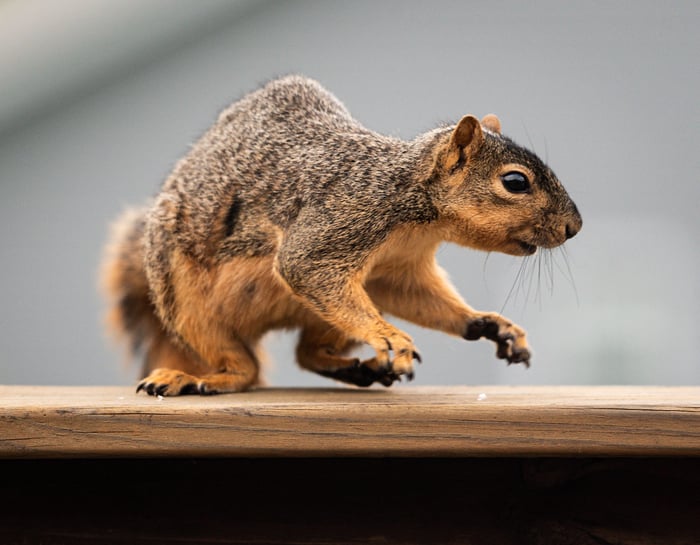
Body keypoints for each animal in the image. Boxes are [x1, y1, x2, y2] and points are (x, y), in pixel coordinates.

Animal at [101, 75, 582, 396]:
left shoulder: (394, 271)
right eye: (515, 182)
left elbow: (423, 299)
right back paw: (197, 378)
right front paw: (389, 337)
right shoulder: (343, 219)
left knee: (306, 353)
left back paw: (360, 370)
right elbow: (303, 264)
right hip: (186, 304)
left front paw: (488, 323)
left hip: (329, 310)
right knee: (242, 367)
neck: (417, 213)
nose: (573, 227)